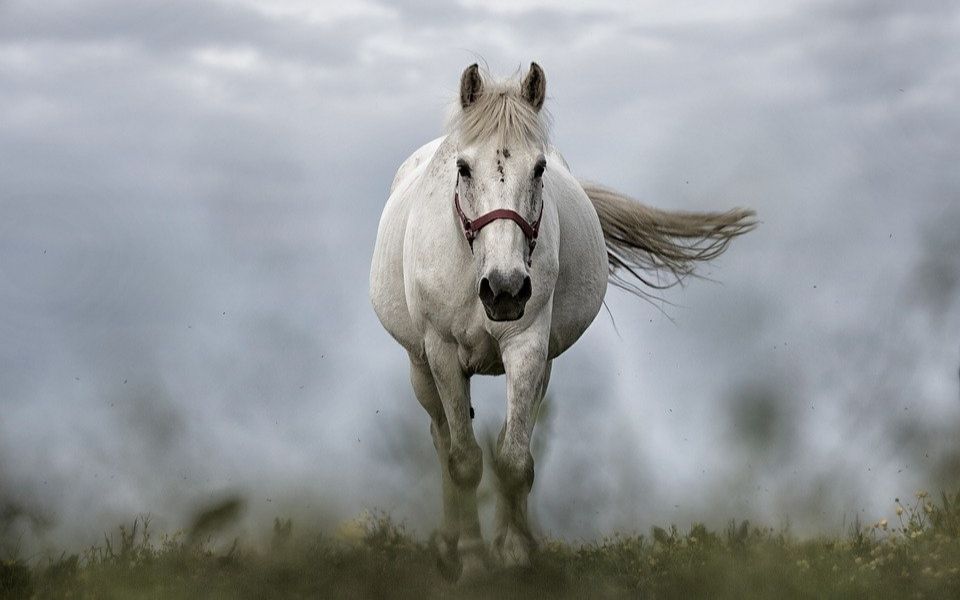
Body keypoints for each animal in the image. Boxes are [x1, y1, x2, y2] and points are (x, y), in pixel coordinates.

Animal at [372, 63, 752, 580]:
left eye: (539, 169)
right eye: (464, 168)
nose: (505, 289)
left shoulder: (528, 346)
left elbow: (514, 459)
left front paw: (515, 552)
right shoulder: (443, 353)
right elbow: (464, 461)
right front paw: (472, 561)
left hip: (541, 366)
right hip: (420, 367)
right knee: (442, 440)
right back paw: (449, 544)